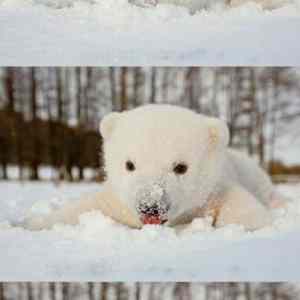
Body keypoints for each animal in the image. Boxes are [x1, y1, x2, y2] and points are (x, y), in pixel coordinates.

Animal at [25, 105, 282, 232]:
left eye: (180, 167)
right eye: (129, 164)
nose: (150, 208)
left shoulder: (216, 191)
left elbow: (247, 212)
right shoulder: (117, 200)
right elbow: (81, 209)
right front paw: (32, 224)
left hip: (257, 176)